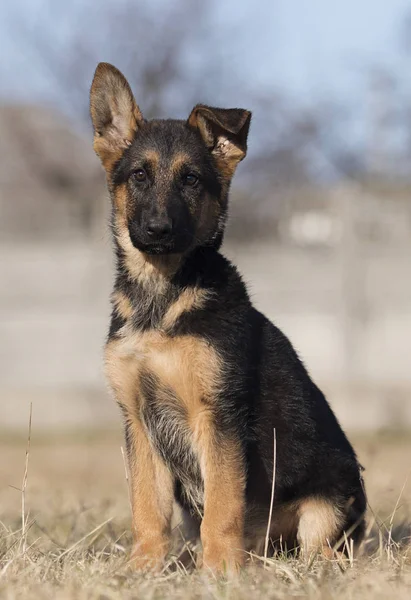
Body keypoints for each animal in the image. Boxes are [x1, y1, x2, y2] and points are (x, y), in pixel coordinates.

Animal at [90, 63, 366, 576]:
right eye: (138, 175)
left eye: (191, 180)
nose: (158, 230)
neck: (162, 298)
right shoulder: (138, 421)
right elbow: (146, 506)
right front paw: (143, 566)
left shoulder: (217, 416)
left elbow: (222, 504)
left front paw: (219, 571)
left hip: (331, 502)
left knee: (321, 547)